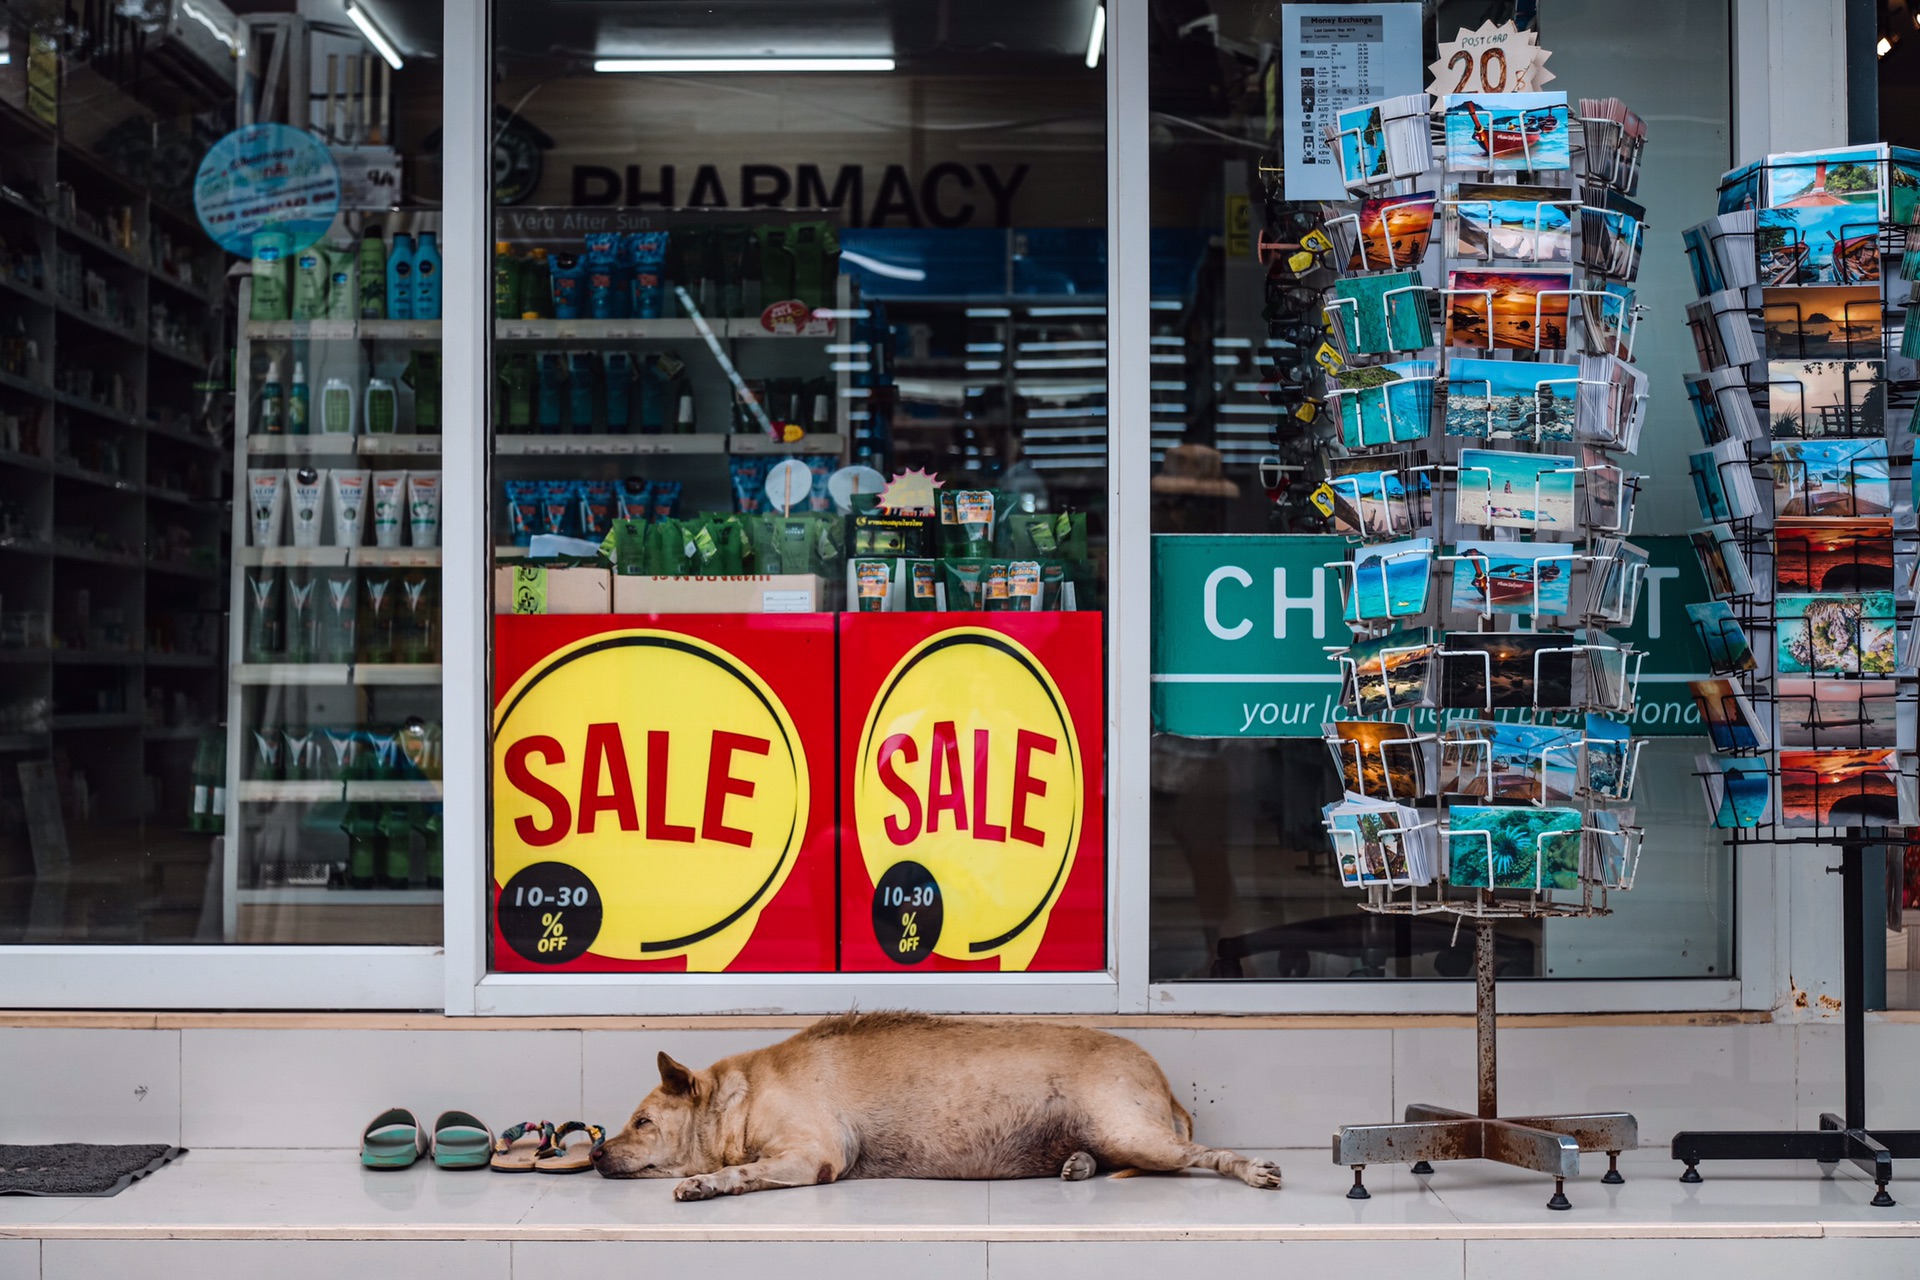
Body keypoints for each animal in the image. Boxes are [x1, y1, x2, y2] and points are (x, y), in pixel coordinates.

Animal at [591, 1013, 1282, 1205]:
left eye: (642, 1122)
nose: (594, 1150)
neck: (743, 1095)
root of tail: (1165, 1084)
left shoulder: (811, 1156)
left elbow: (740, 1172)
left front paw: (706, 1183)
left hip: (1134, 1130)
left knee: (1201, 1156)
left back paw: (1253, 1169)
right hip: (1119, 1137)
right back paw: (1077, 1165)